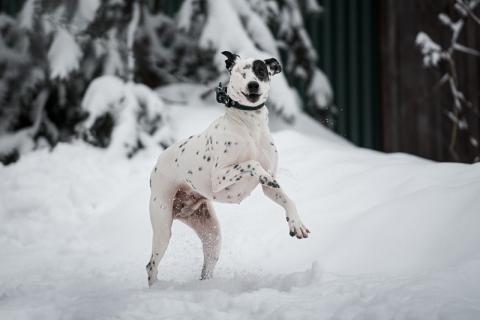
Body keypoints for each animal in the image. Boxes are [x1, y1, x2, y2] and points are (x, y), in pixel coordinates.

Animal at [146, 51, 312, 286]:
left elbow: (286, 198)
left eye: (261, 71)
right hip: (162, 226)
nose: (253, 85)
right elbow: (252, 163)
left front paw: (296, 223)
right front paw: (261, 173)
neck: (251, 126)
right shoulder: (219, 176)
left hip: (212, 235)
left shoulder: (270, 188)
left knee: (206, 265)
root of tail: (157, 162)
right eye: (241, 72)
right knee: (151, 265)